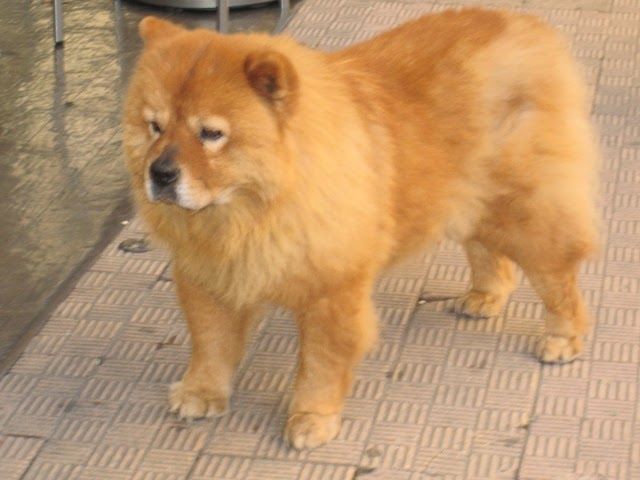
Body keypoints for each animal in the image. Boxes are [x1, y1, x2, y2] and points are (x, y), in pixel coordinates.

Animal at [124, 8, 600, 450]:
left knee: (557, 275)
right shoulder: (207, 277)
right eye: (155, 126)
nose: (160, 173)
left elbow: (319, 364)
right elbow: (210, 343)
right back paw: (484, 298)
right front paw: (201, 393)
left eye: (211, 134)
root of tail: (526, 25)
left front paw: (311, 420)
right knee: (488, 254)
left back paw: (562, 338)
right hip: (468, 199)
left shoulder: (331, 292)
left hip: (523, 210)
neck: (247, 215)